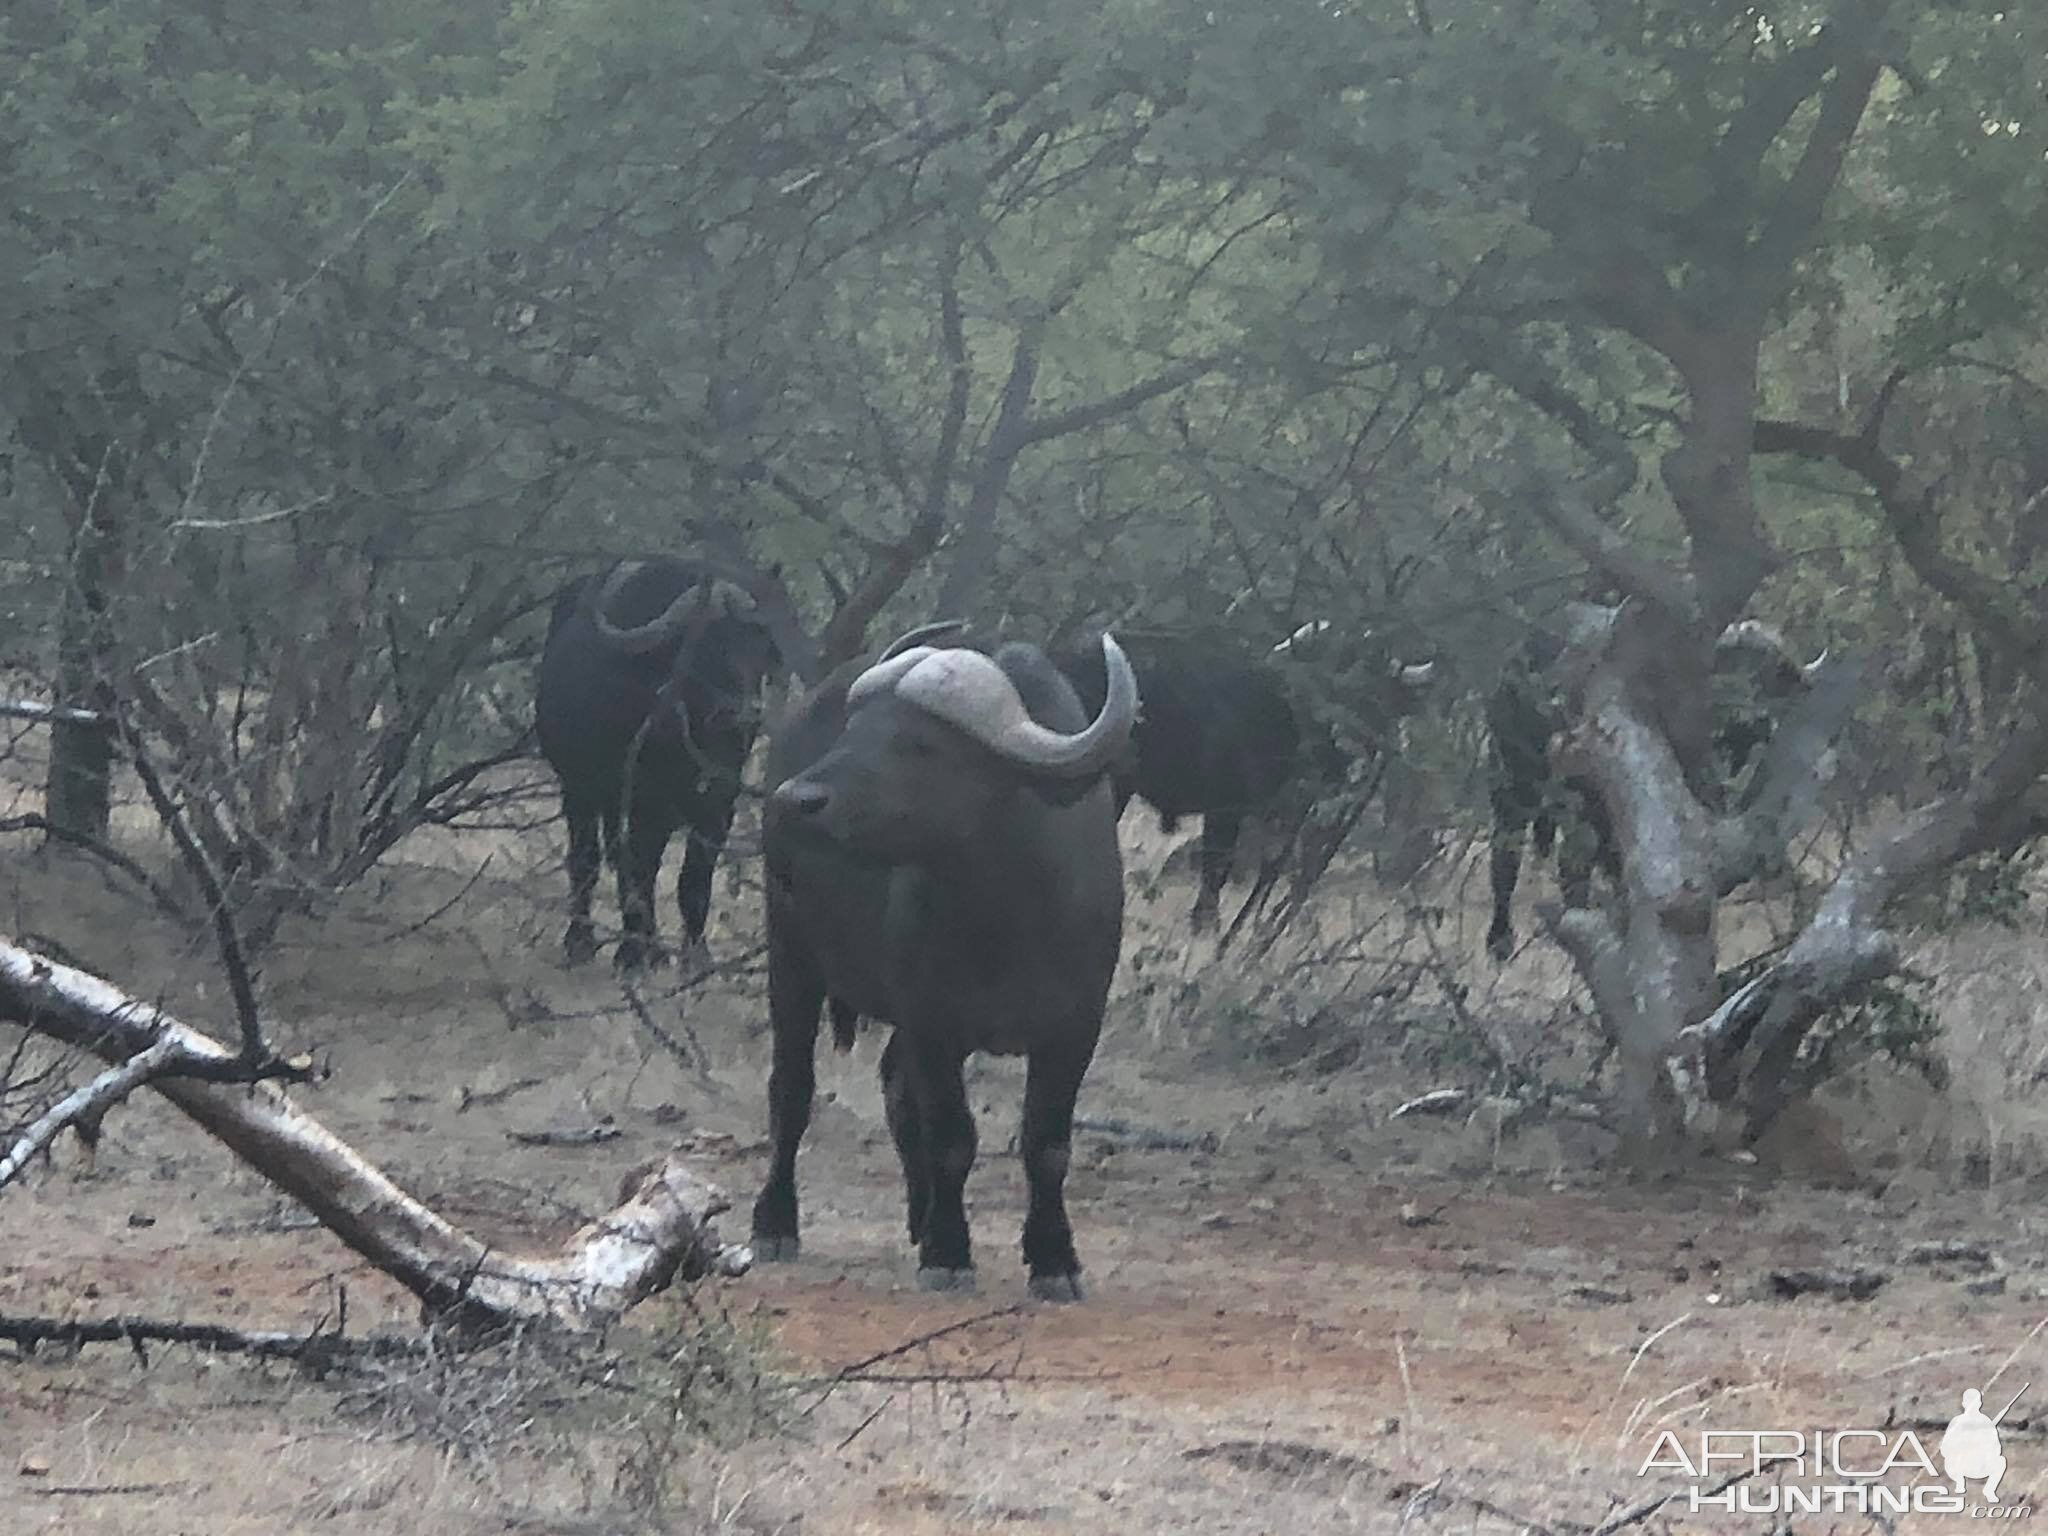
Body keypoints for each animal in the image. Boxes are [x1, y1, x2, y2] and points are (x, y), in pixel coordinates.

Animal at [536, 561, 798, 974]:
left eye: (757, 646)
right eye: (707, 644)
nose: (742, 714)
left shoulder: (719, 805)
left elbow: (694, 879)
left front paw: (697, 955)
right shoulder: (646, 804)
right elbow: (640, 871)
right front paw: (632, 953)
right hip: (579, 790)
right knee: (586, 861)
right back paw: (582, 940)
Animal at [749, 626, 1138, 1302]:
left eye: (920, 742)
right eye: (854, 728)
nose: (796, 800)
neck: (1006, 916)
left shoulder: (1074, 1028)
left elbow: (1048, 1144)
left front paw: (1054, 1257)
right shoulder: (933, 1023)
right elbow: (953, 1137)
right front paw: (949, 1253)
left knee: (893, 1088)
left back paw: (918, 1214)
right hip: (792, 958)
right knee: (792, 1091)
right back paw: (777, 1222)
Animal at [1490, 618, 1826, 958]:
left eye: (1773, 673)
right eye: (1732, 669)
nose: (1754, 717)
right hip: (1516, 782)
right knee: (1508, 855)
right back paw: (1501, 938)